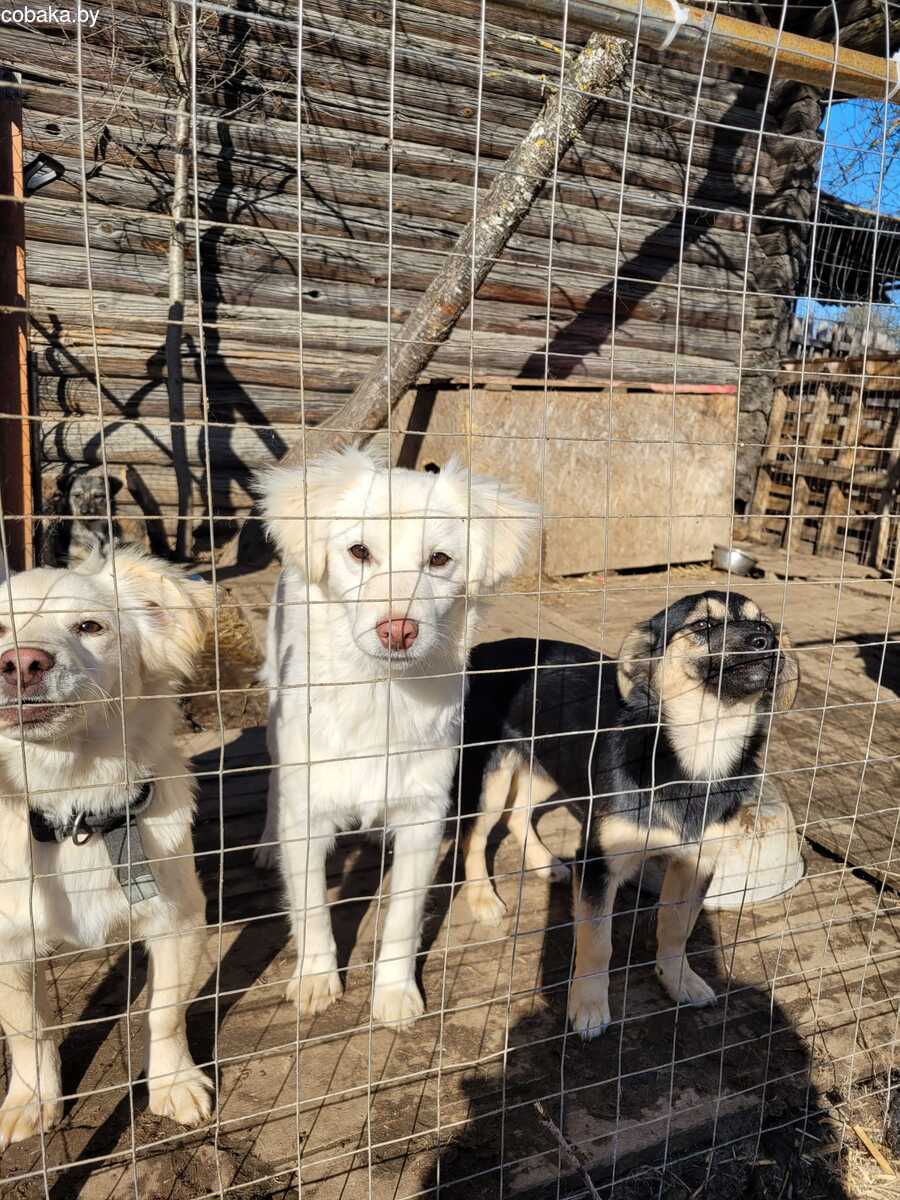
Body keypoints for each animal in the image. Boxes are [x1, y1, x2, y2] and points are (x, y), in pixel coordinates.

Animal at [0, 549, 213, 1148]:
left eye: (89, 628)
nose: (20, 663)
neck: (75, 807)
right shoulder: (9, 945)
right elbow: (27, 1029)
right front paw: (31, 1101)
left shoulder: (179, 920)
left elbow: (164, 1012)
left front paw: (173, 1084)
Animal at [255, 446, 535, 1028]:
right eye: (360, 552)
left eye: (440, 560)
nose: (398, 631)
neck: (378, 695)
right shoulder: (309, 813)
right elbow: (312, 907)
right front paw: (316, 979)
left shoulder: (423, 815)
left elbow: (404, 918)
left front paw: (395, 993)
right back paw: (268, 842)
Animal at [458, 591, 798, 1039]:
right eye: (703, 626)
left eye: (767, 624)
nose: (765, 640)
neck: (699, 751)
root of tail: (481, 650)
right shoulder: (599, 862)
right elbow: (596, 941)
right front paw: (588, 1006)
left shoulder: (697, 861)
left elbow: (676, 927)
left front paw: (678, 980)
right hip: (491, 778)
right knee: (476, 835)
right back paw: (482, 898)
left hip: (551, 766)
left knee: (519, 813)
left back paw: (546, 864)